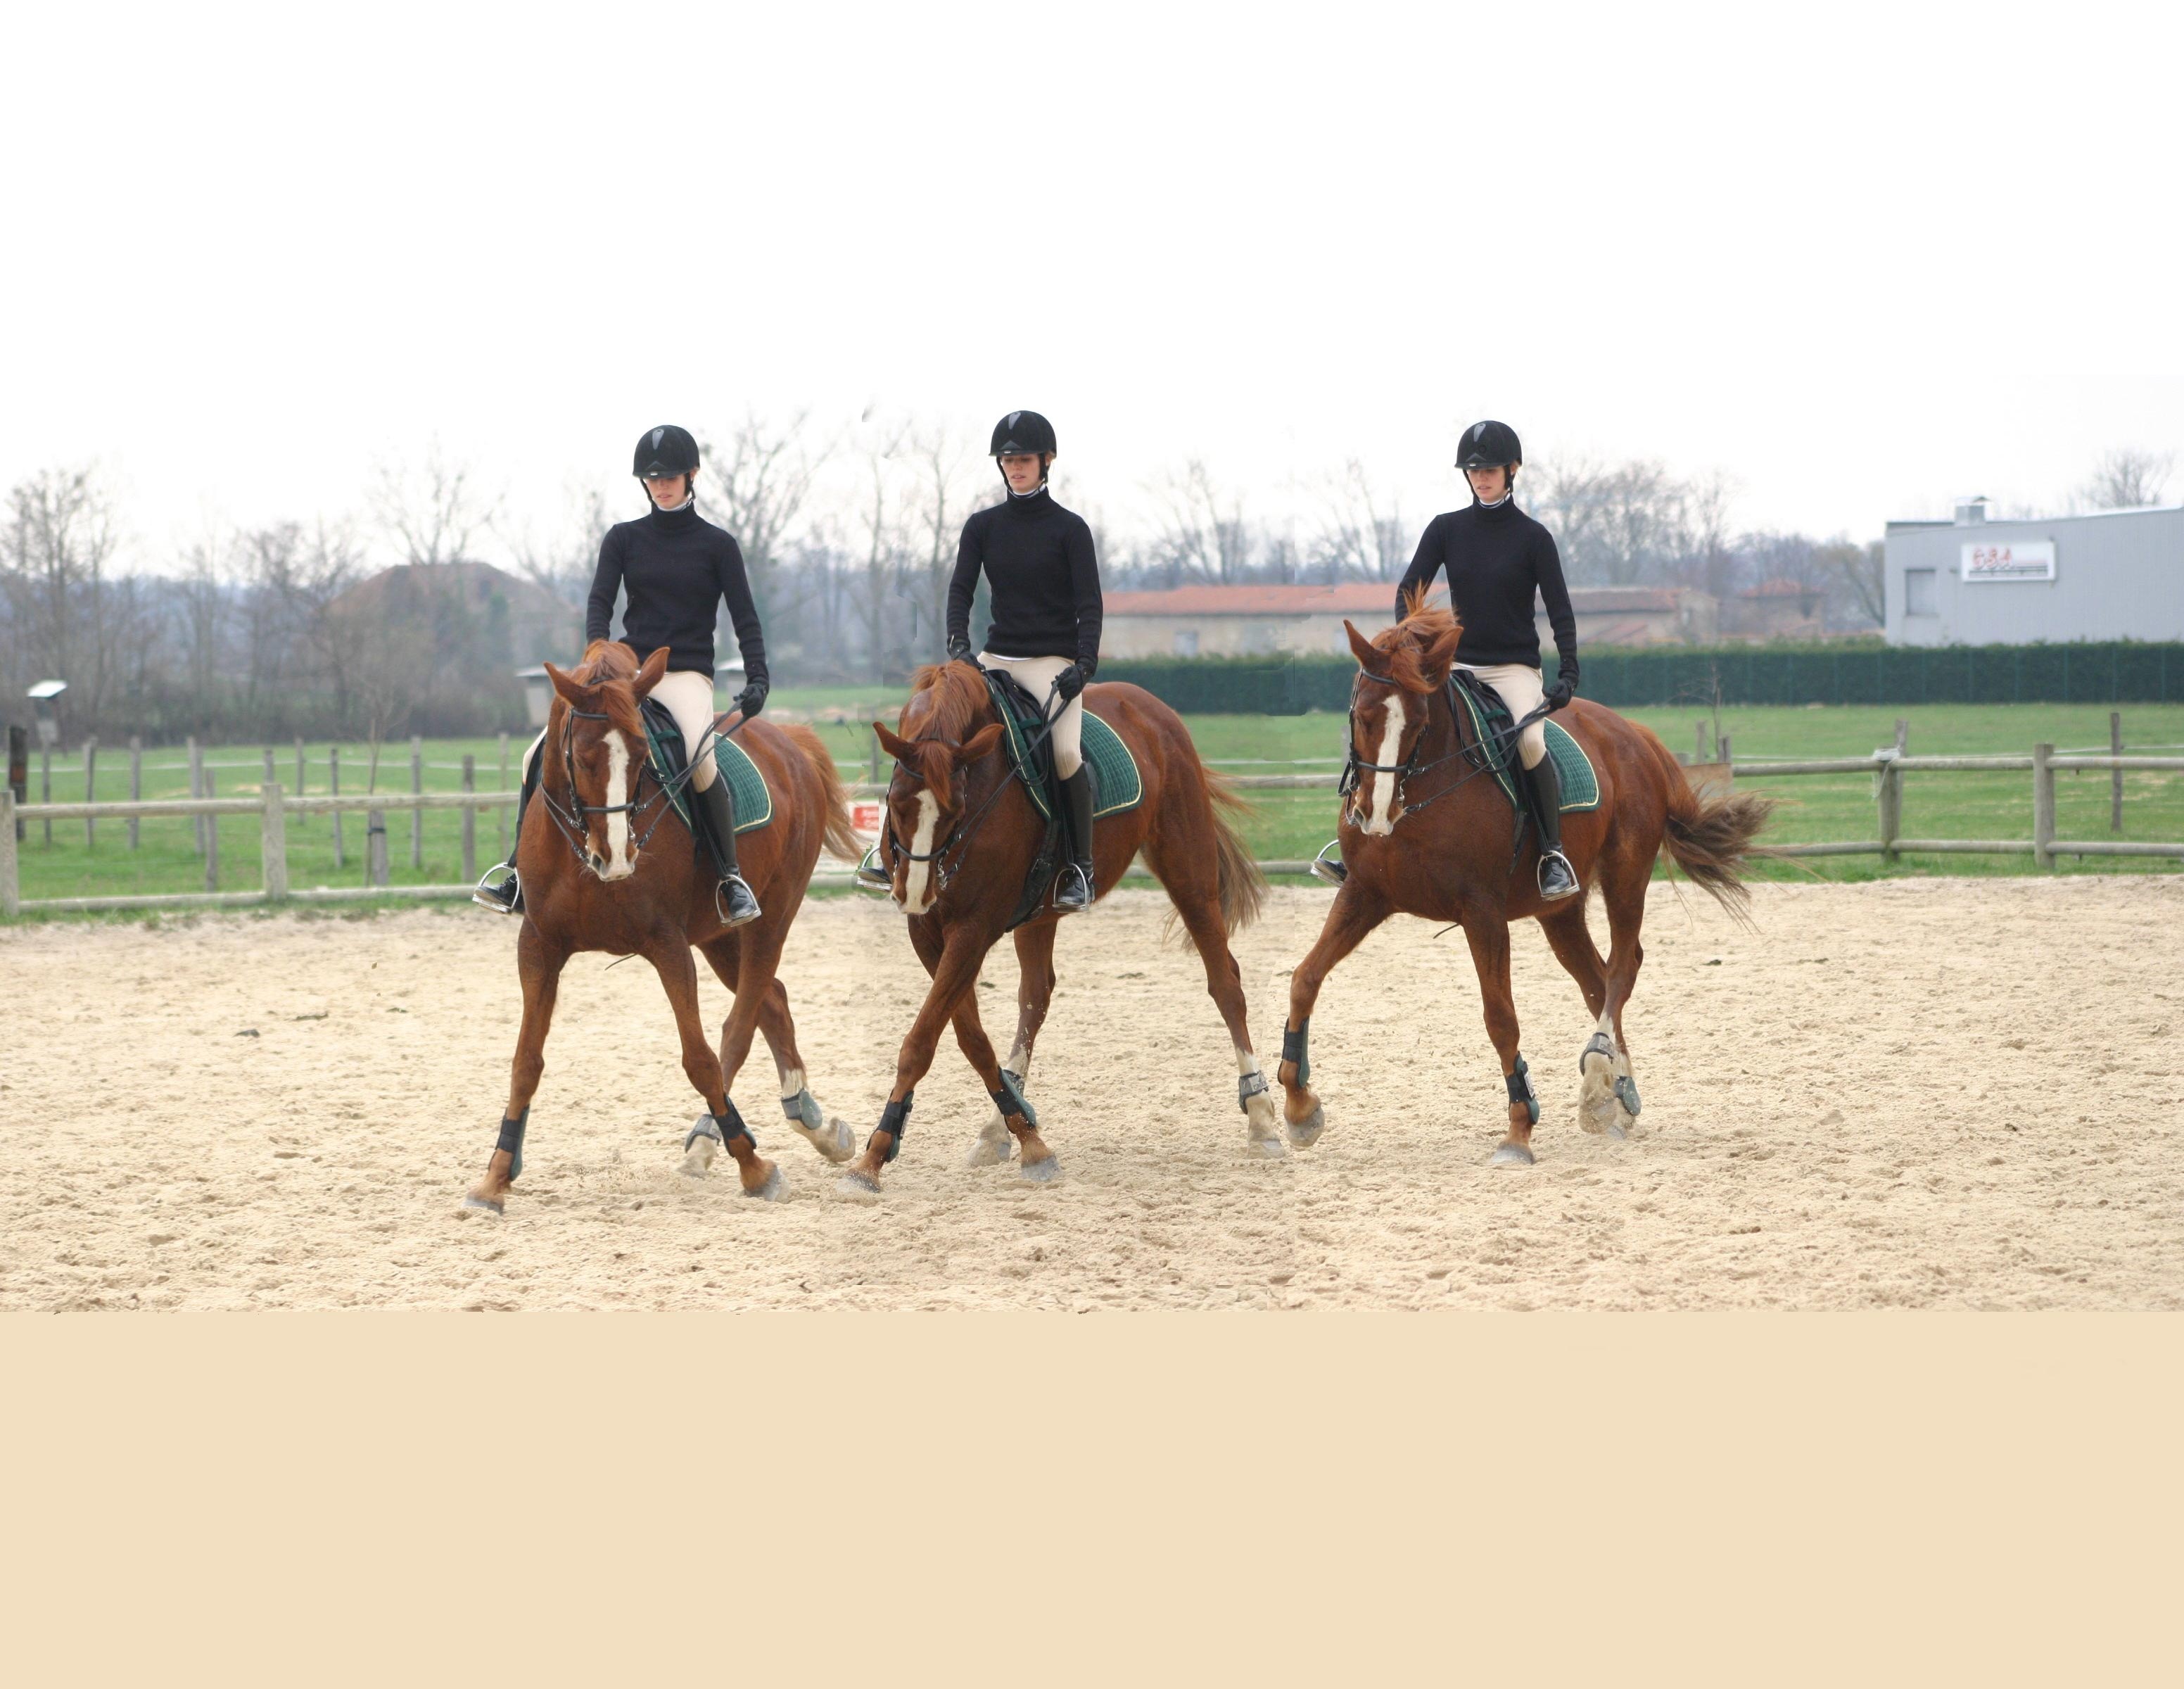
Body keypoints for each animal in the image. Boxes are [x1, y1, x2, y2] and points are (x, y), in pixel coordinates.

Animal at [465, 638, 865, 1215]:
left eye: (641, 756)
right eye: (581, 757)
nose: (615, 858)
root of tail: (791, 741)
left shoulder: (667, 944)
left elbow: (699, 1058)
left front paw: (755, 1168)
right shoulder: (538, 945)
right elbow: (526, 1062)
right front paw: (496, 1177)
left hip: (772, 917)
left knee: (740, 1025)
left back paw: (712, 1140)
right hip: (717, 936)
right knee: (773, 999)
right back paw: (814, 1123)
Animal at [830, 655, 1275, 1189]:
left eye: (956, 810)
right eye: (895, 801)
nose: (916, 893)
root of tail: (1153, 707)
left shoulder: (973, 930)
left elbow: (922, 1040)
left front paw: (873, 1158)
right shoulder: (929, 934)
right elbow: (970, 1037)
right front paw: (1022, 1134)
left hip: (1189, 875)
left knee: (1224, 981)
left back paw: (1263, 1116)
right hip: (1039, 914)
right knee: (1035, 996)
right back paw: (997, 1129)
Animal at [1275, 598, 1773, 1162]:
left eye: (1420, 722)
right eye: (1362, 716)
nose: (1376, 816)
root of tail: (1633, 733)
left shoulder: (1482, 913)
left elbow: (1500, 1017)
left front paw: (1519, 1129)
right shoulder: (1365, 894)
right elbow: (1304, 979)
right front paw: (1299, 1109)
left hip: (1626, 875)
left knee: (1623, 966)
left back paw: (1598, 1074)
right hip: (1559, 913)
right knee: (1597, 980)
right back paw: (1616, 1096)